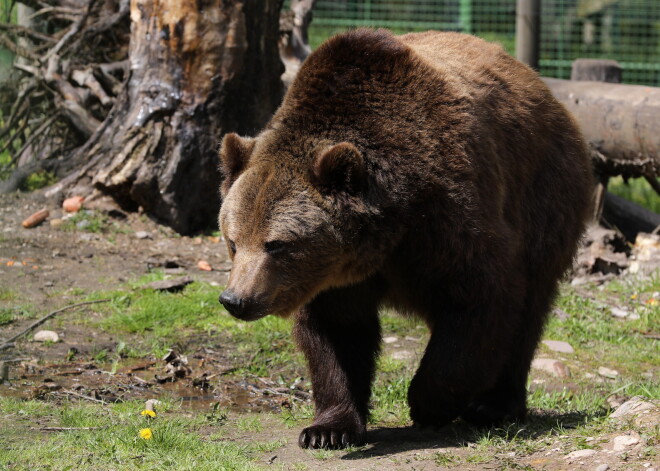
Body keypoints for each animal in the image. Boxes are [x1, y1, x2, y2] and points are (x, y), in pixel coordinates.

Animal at [218, 28, 592, 450]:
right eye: (233, 241)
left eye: (277, 244)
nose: (236, 299)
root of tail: (543, 88)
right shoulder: (334, 280)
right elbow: (337, 336)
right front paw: (327, 429)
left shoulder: (449, 219)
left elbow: (483, 295)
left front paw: (429, 403)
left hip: (544, 197)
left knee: (527, 313)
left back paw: (493, 405)